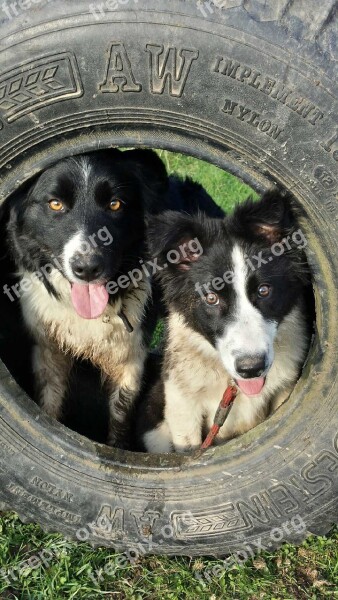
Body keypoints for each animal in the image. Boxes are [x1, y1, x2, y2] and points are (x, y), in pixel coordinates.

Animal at [6, 148, 223, 448]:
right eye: (55, 204)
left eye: (115, 204)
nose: (87, 268)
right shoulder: (48, 348)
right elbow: (49, 403)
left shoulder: (129, 356)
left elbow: (120, 417)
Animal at [137, 190, 312, 452]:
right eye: (211, 298)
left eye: (263, 290)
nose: (251, 368)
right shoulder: (181, 402)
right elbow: (188, 447)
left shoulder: (284, 388)